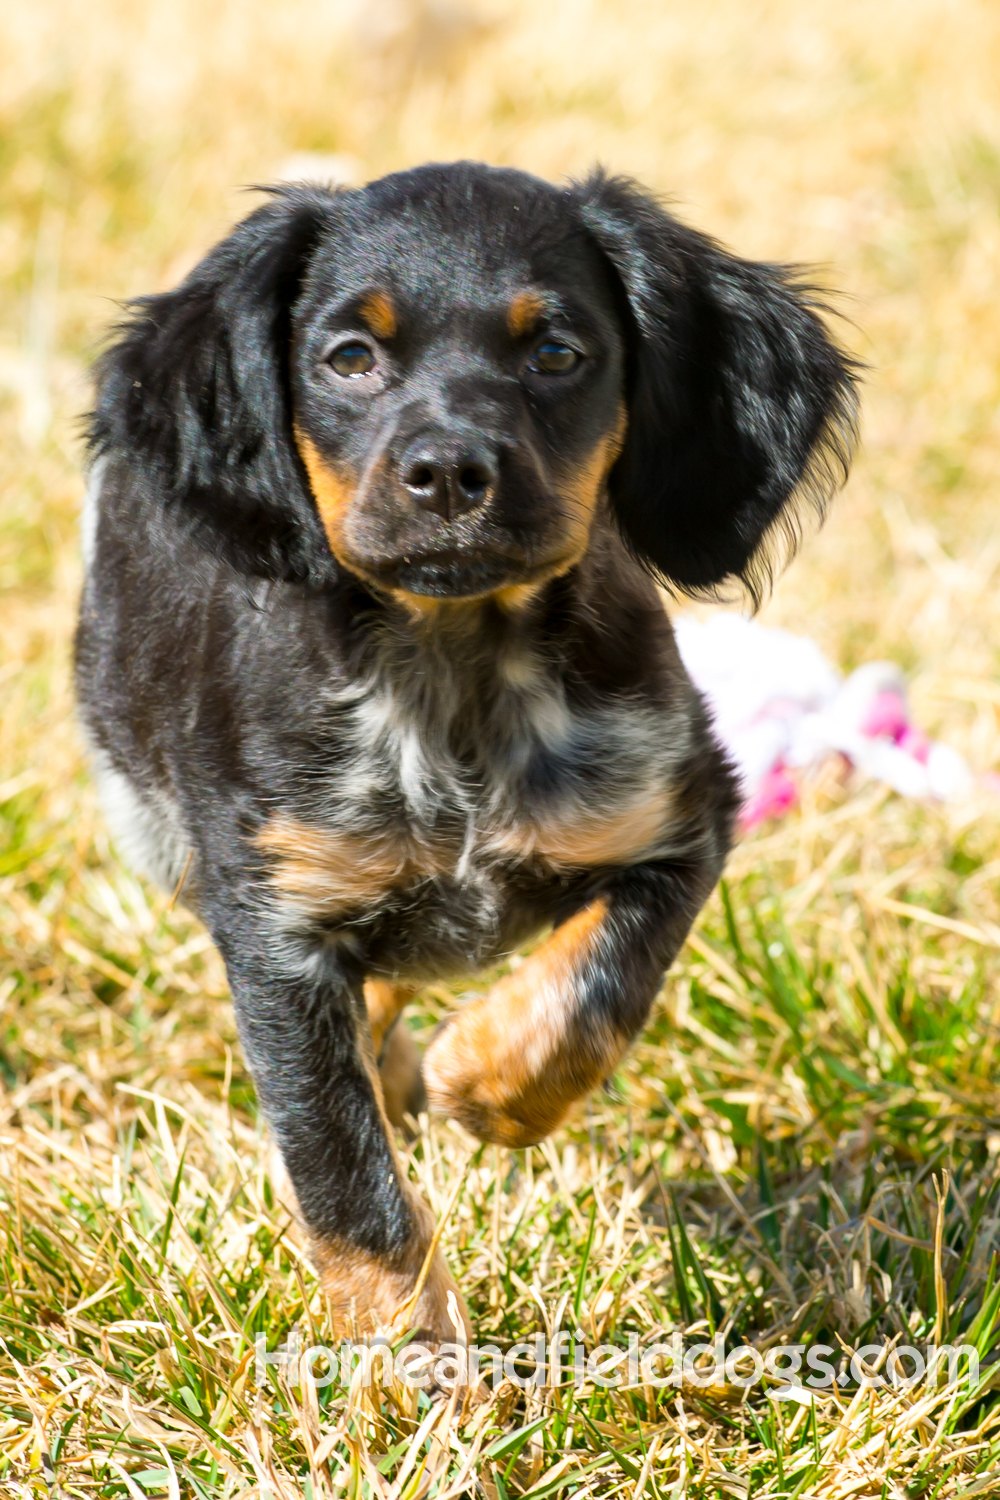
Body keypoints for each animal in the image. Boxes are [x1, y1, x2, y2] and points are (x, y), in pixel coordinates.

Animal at [76, 161, 863, 1338]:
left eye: (557, 353)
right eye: (349, 358)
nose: (449, 470)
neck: (455, 681)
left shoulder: (681, 813)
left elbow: (597, 985)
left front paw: (489, 1082)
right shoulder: (273, 924)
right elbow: (345, 1180)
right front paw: (409, 1365)